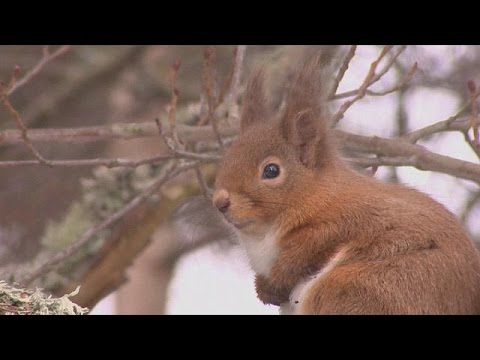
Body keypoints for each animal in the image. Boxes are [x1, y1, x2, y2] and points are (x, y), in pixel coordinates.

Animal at [211, 52, 480, 312]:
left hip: (362, 287)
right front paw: (263, 288)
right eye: (227, 156)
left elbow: (314, 246)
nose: (220, 202)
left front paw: (276, 279)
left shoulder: (349, 219)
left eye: (271, 170)